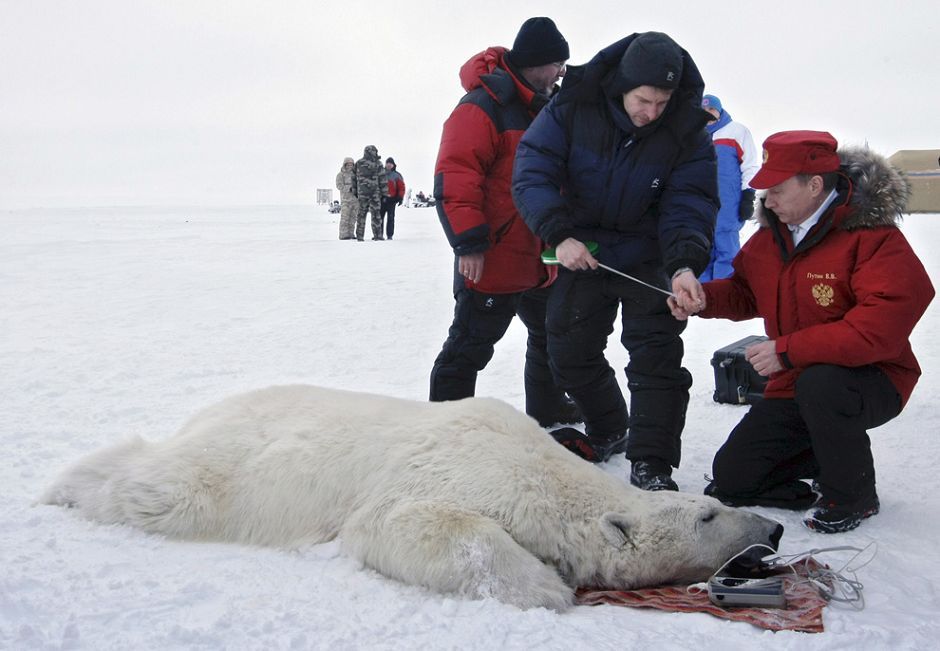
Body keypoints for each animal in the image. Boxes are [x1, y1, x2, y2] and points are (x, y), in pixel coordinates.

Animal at [40, 384, 784, 608]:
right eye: (708, 512)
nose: (774, 528)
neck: (549, 473)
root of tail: (209, 413)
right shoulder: (459, 466)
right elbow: (399, 522)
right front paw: (547, 586)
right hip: (239, 467)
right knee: (164, 487)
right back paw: (64, 485)